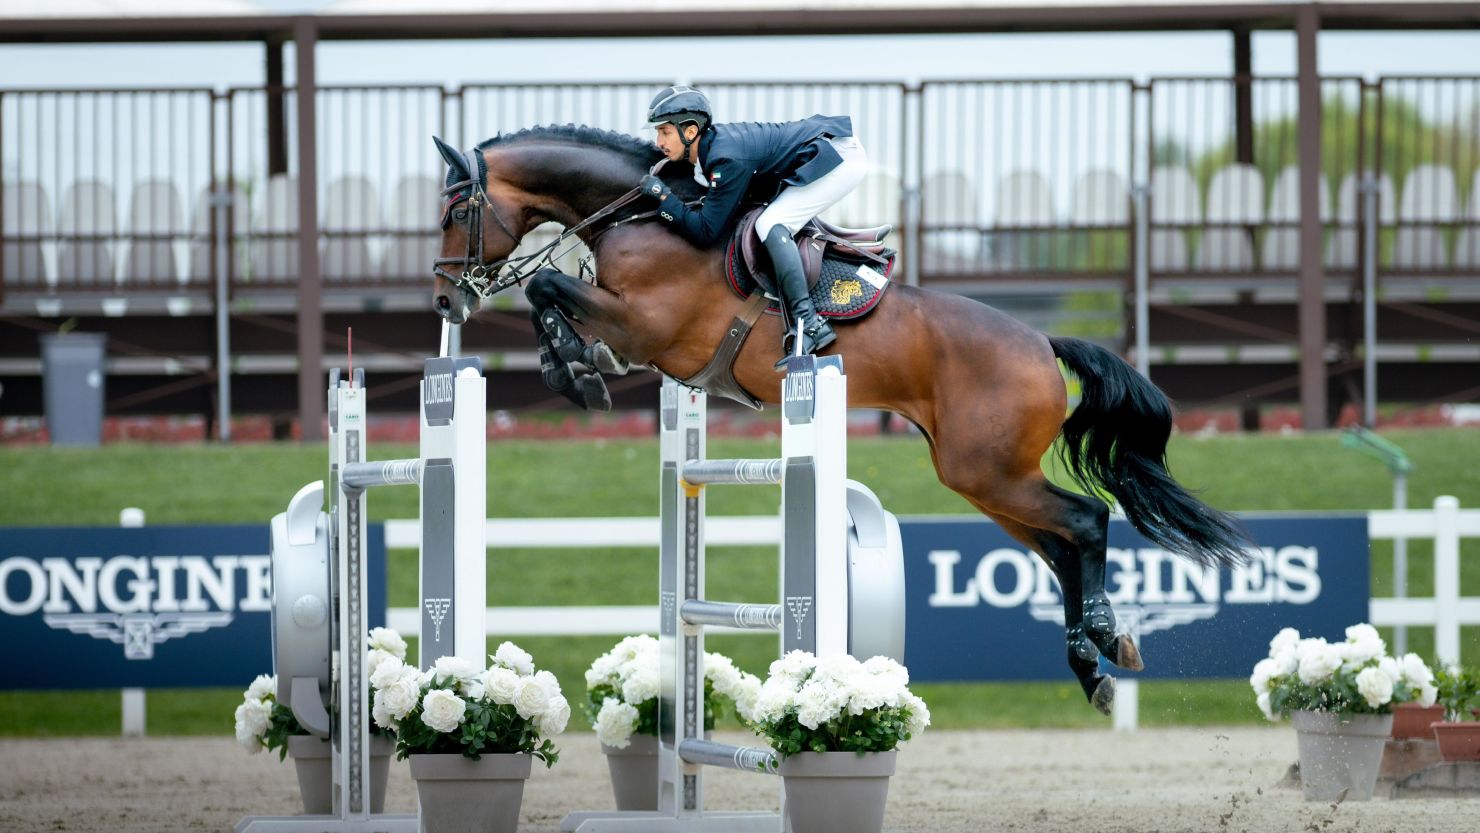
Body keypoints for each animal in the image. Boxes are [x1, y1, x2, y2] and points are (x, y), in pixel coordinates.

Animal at [429, 125, 1249, 716]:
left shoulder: (645, 327)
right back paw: (1095, 664)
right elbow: (548, 296)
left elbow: (546, 289)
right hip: (982, 478)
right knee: (1062, 547)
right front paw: (566, 366)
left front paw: (577, 368)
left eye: (456, 212)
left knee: (1085, 521)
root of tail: (1041, 342)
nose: (445, 301)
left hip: (989, 471)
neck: (645, 218)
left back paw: (1104, 643)